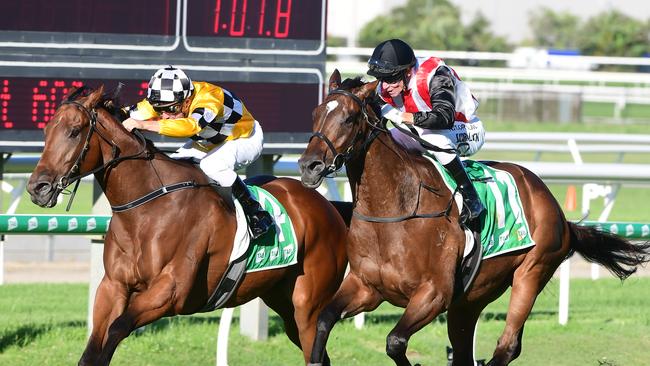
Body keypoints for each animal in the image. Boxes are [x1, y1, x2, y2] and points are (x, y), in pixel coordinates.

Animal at [27, 86, 350, 366]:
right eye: (46, 131)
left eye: (73, 131)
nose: (37, 188)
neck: (147, 210)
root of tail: (326, 206)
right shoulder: (112, 286)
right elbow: (93, 347)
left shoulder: (170, 292)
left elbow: (117, 328)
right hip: (282, 301)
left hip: (308, 307)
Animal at [298, 70, 648, 364]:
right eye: (315, 113)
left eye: (348, 118)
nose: (309, 166)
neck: (395, 209)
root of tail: (557, 211)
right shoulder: (366, 287)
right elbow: (324, 320)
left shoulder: (434, 294)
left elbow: (395, 341)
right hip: (470, 300)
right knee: (466, 350)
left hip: (531, 273)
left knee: (507, 345)